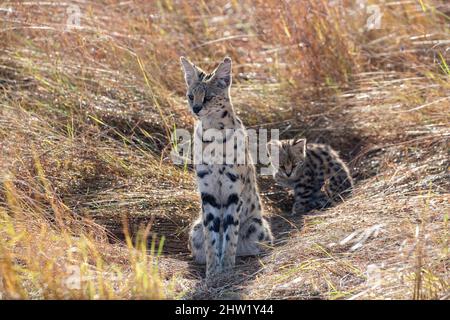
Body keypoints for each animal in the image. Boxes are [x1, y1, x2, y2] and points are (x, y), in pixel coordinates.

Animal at [180, 56, 272, 278]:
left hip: (256, 226)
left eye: (208, 97)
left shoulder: (233, 192)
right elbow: (212, 237)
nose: (196, 108)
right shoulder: (208, 194)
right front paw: (213, 273)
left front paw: (227, 270)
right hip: (195, 229)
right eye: (190, 96)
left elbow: (230, 234)